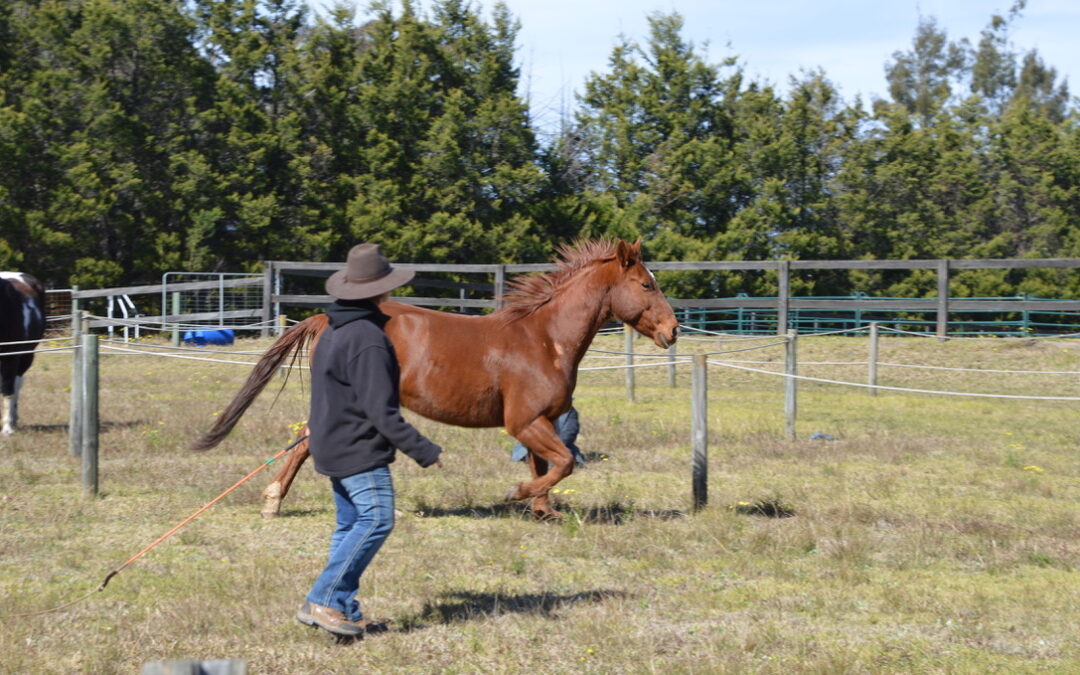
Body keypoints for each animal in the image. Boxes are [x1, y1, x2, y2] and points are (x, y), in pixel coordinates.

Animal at [0, 271, 45, 434]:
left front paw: (7, 428)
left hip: (26, 356)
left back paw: (13, 420)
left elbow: (7, 389)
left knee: (16, 384)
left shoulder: (10, 357)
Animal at [194, 239, 673, 518]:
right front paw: (517, 493)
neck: (544, 339)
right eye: (646, 285)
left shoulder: (543, 420)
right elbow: (562, 463)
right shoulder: (524, 421)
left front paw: (543, 511)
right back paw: (275, 501)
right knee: (306, 443)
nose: (672, 330)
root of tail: (326, 318)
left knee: (305, 441)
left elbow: (550, 465)